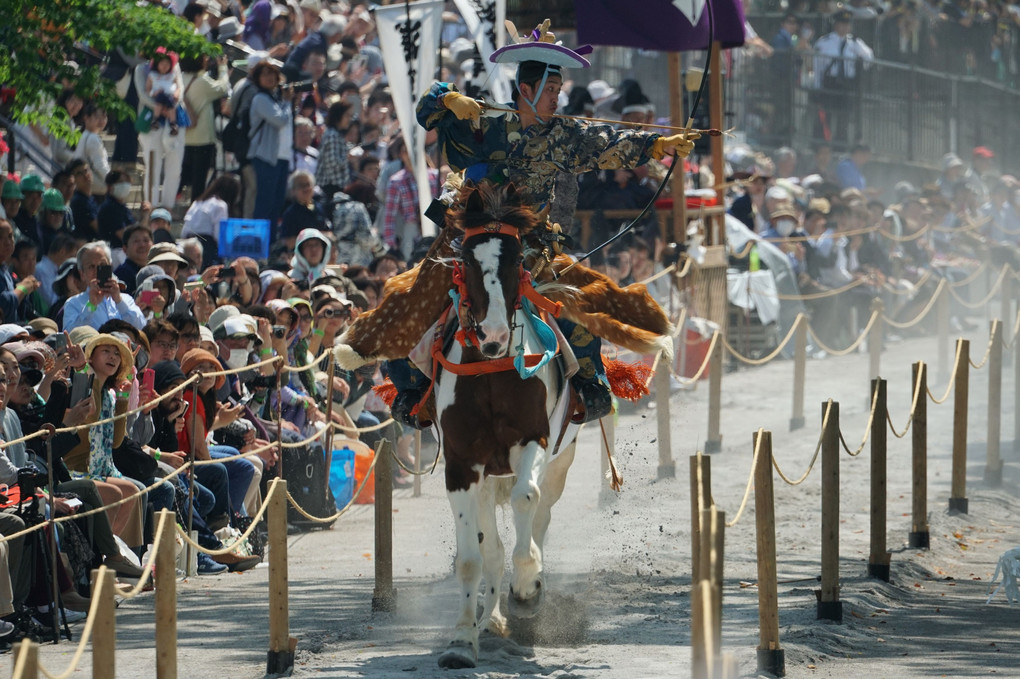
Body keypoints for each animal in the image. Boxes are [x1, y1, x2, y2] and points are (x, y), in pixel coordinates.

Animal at [424, 182, 583, 668]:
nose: (492, 335)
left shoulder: (534, 440)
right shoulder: (462, 463)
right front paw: (462, 639)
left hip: (559, 462)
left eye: (516, 259)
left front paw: (527, 587)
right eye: (467, 259)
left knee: (540, 512)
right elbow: (472, 558)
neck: (492, 369)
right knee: (490, 547)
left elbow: (526, 500)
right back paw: (489, 621)